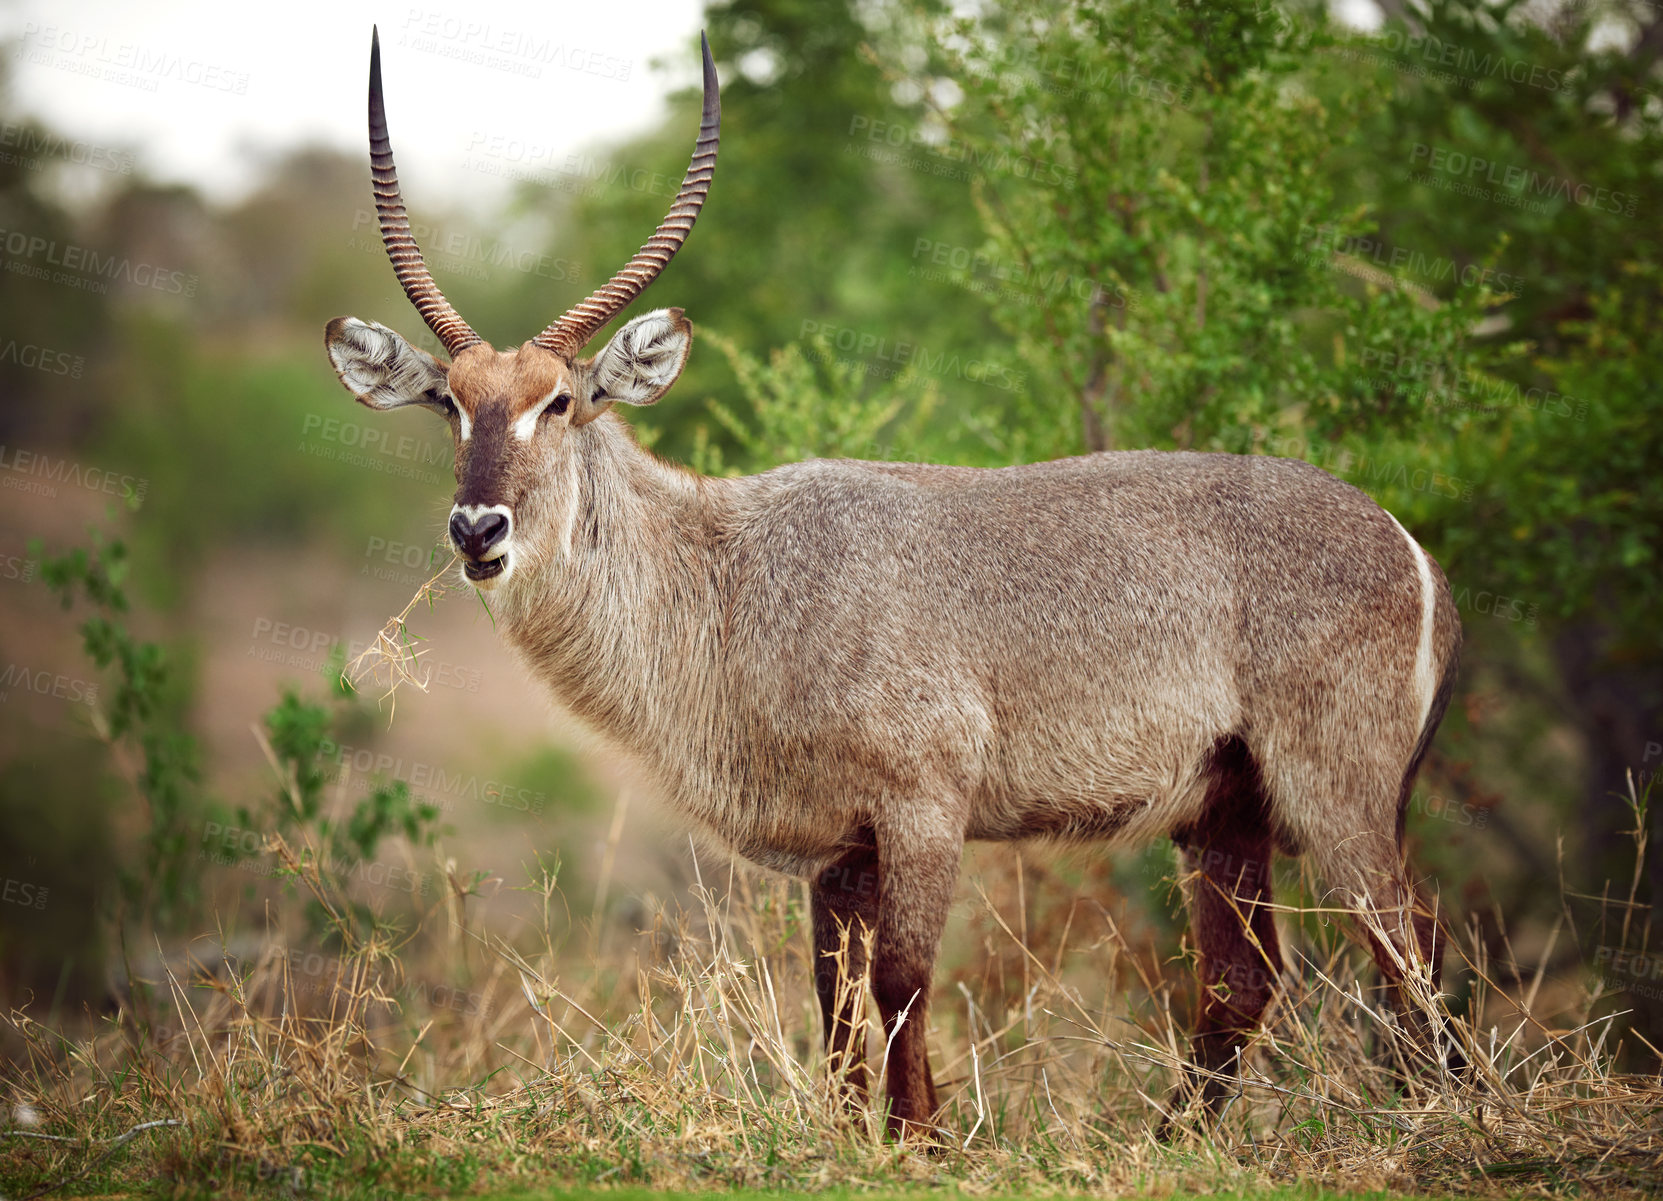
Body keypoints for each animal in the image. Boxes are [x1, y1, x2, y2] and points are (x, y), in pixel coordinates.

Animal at [327, 25, 1470, 1131]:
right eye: (447, 400)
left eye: (558, 400)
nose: (478, 526)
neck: (729, 578)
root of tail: (1411, 549)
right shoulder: (840, 850)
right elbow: (833, 1006)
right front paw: (853, 1139)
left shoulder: (922, 806)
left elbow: (902, 983)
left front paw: (920, 1143)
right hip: (1223, 811)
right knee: (1245, 979)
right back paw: (1174, 1142)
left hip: (1334, 786)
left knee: (1408, 943)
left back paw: (1444, 1127)